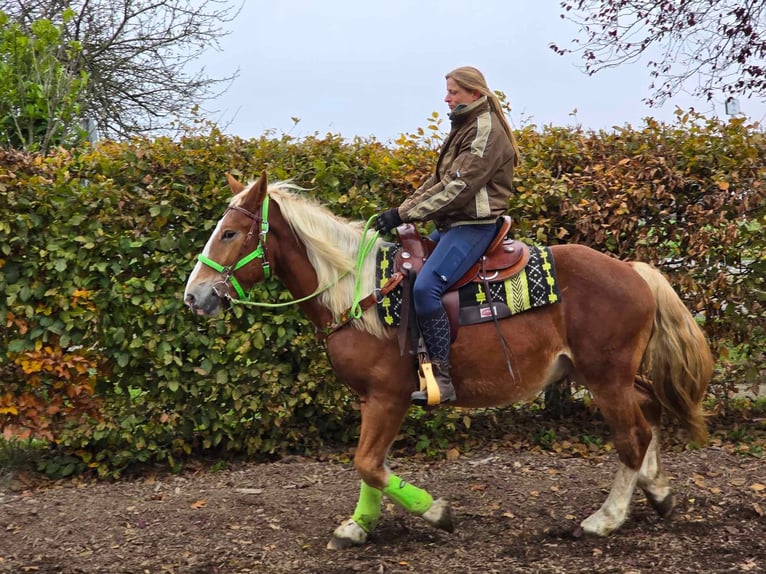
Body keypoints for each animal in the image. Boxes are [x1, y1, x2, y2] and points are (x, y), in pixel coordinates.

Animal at [184, 173, 712, 552]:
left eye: (230, 233)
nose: (194, 296)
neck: (359, 291)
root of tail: (633, 270)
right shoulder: (372, 400)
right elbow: (371, 466)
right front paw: (358, 526)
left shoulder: (389, 396)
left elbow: (368, 463)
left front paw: (436, 512)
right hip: (605, 375)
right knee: (650, 410)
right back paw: (657, 490)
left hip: (605, 378)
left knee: (632, 436)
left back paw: (605, 519)